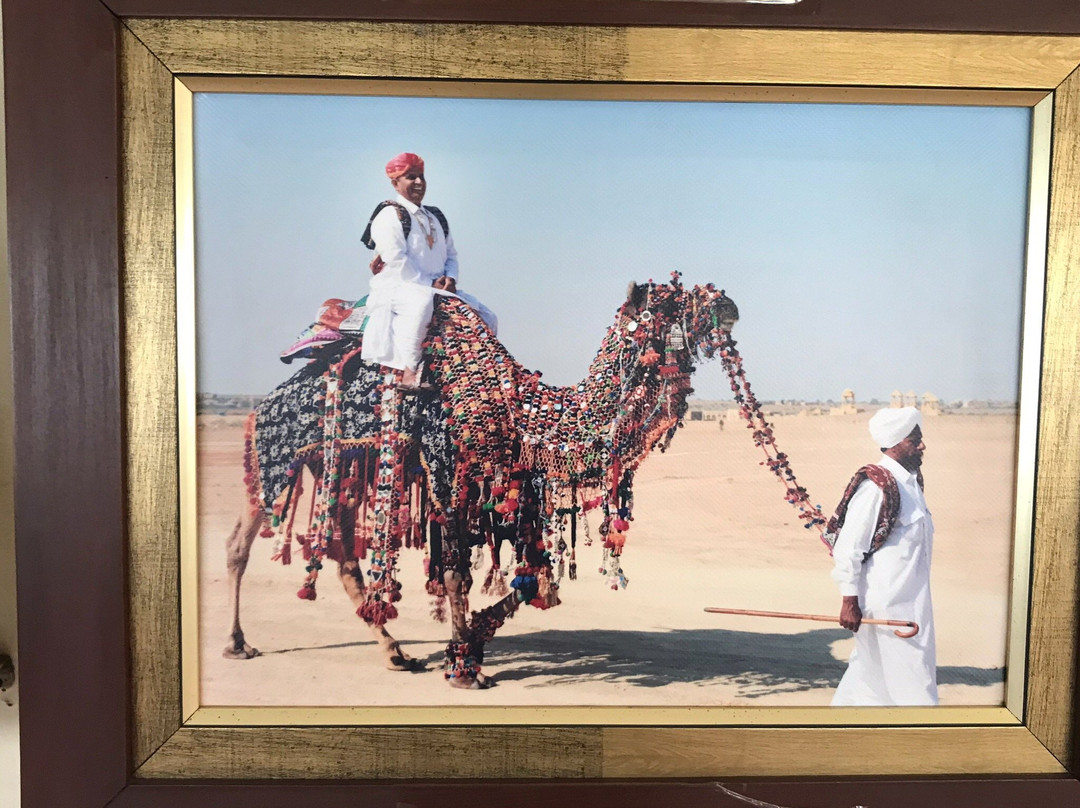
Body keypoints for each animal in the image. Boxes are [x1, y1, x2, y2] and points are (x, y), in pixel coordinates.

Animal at [219, 273, 743, 687]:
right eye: (668, 305)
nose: (729, 306)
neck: (523, 412)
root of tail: (265, 404)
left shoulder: (508, 492)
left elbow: (532, 577)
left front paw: (471, 643)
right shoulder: (449, 477)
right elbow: (457, 575)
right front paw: (465, 667)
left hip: (344, 469)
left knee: (343, 553)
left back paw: (394, 653)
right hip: (277, 460)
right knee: (242, 541)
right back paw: (237, 643)